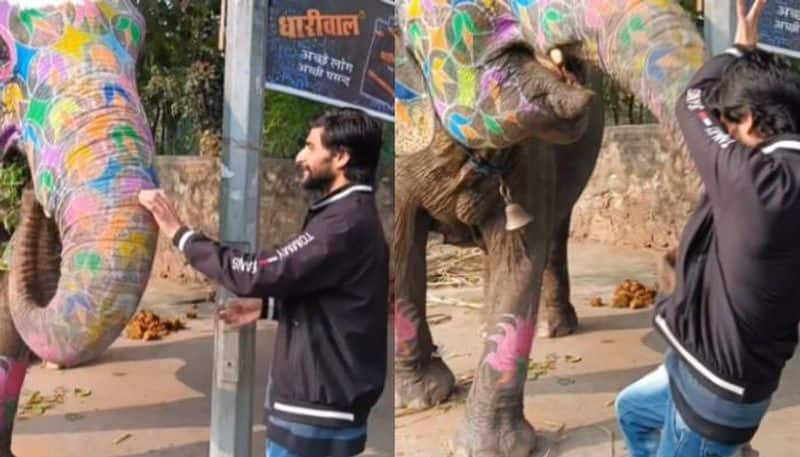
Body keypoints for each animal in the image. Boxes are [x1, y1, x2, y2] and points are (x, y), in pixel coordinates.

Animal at [394, 0, 708, 454]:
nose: (670, 259)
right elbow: (398, 250)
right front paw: (421, 398)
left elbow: (519, 259)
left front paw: (489, 449)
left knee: (555, 232)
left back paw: (551, 328)